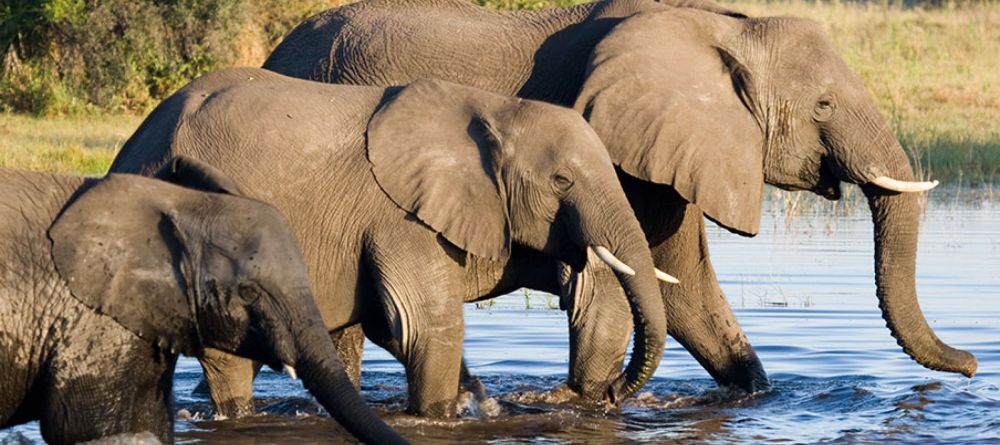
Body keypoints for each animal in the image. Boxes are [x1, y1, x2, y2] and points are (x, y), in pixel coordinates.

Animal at [108, 68, 674, 417]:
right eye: (561, 181)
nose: (611, 397)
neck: (494, 109)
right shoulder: (399, 217)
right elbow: (425, 325)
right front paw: (444, 415)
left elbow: (392, 326)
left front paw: (480, 401)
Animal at [260, 0, 977, 401]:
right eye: (823, 106)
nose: (970, 365)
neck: (723, 29)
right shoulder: (608, 149)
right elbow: (609, 294)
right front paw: (592, 399)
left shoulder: (669, 156)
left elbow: (686, 292)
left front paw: (753, 393)